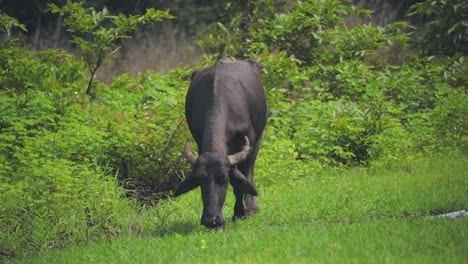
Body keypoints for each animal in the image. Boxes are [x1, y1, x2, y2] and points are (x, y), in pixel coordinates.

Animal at [172, 58, 266, 229]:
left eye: (224, 178)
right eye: (200, 180)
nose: (211, 220)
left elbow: (240, 182)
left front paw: (241, 213)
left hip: (258, 140)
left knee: (250, 171)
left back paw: (252, 207)